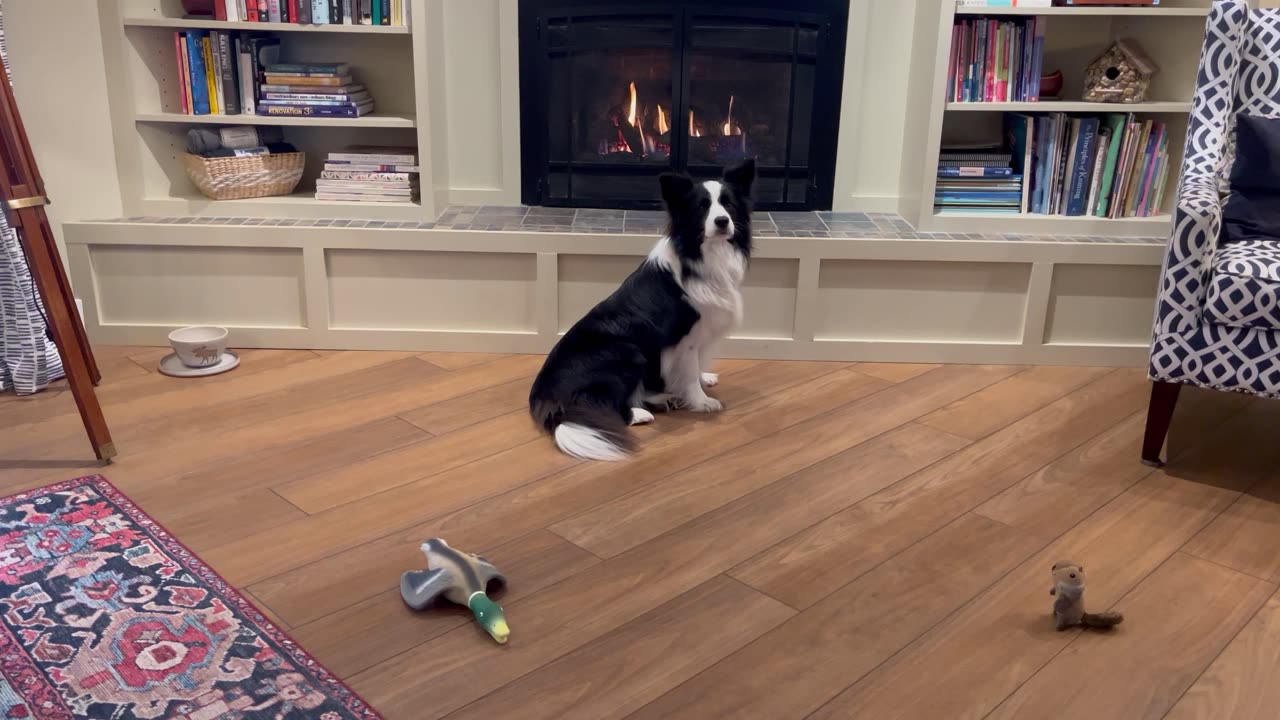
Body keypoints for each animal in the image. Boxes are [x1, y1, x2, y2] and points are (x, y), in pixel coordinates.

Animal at [527, 157, 752, 458]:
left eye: (729, 204)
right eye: (701, 207)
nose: (722, 221)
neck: (701, 255)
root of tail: (547, 396)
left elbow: (695, 368)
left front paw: (703, 379)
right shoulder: (686, 338)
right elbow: (689, 370)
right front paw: (702, 401)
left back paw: (662, 398)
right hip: (629, 351)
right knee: (605, 404)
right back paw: (641, 413)